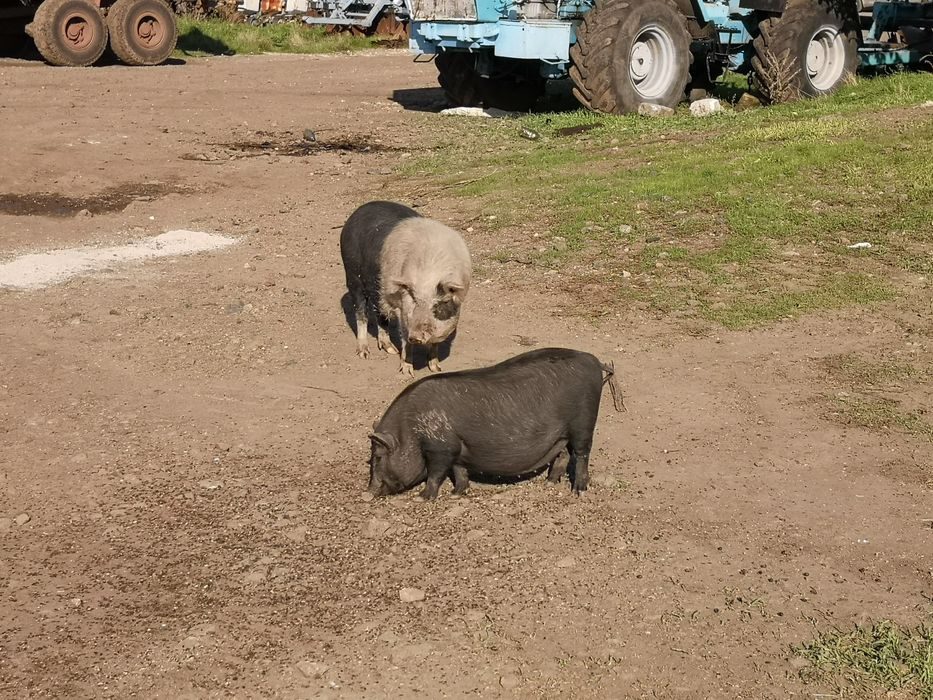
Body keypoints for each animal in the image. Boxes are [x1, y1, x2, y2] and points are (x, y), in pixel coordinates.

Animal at [338, 201, 470, 378]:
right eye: (413, 299)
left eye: (438, 305)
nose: (416, 337)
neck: (428, 276)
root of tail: (356, 212)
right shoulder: (403, 309)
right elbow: (405, 339)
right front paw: (408, 373)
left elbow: (435, 343)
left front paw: (436, 368)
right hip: (352, 275)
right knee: (361, 314)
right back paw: (364, 353)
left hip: (379, 288)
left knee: (380, 314)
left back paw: (391, 350)